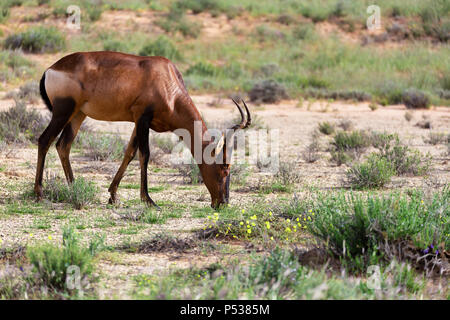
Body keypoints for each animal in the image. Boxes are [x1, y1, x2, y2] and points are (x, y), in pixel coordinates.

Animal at [35, 51, 251, 209]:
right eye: (224, 168)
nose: (222, 203)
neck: (166, 79)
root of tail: (51, 69)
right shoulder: (142, 118)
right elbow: (144, 155)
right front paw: (148, 200)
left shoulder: (138, 122)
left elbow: (129, 153)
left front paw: (113, 196)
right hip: (63, 111)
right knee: (44, 140)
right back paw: (39, 193)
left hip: (78, 114)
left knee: (63, 145)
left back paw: (74, 188)